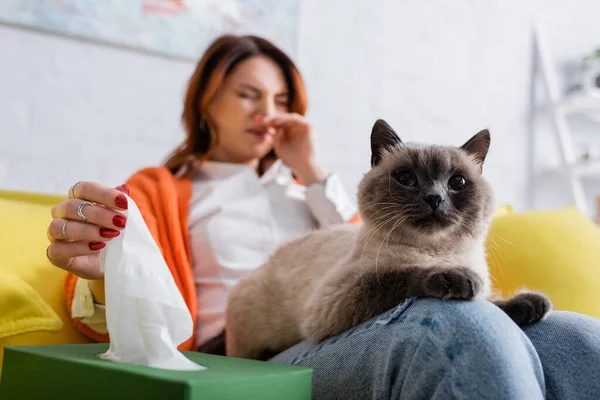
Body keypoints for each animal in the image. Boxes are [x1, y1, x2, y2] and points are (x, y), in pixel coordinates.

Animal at [225, 118, 552, 360]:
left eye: (457, 182)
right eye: (406, 178)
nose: (434, 198)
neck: (440, 253)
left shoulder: (483, 291)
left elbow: (491, 301)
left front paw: (529, 304)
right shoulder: (332, 301)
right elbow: (399, 276)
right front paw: (457, 279)